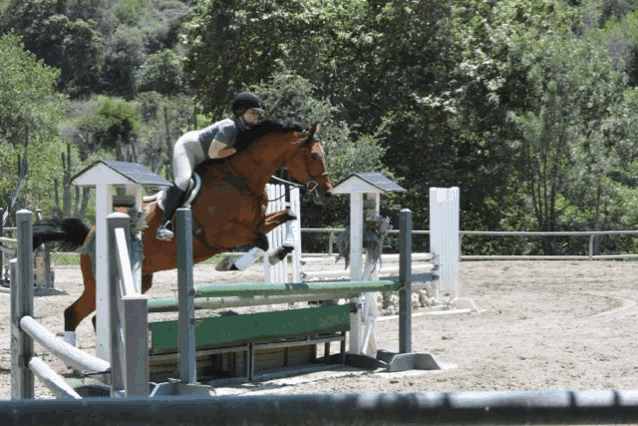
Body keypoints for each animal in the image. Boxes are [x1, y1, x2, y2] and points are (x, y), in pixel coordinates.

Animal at [33, 119, 336, 342]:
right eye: (314, 155)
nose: (328, 193)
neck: (241, 178)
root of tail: (91, 233)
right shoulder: (220, 234)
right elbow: (259, 241)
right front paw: (230, 264)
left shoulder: (257, 223)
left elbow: (289, 216)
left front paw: (279, 252)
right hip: (98, 280)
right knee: (73, 313)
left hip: (141, 278)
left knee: (94, 316)